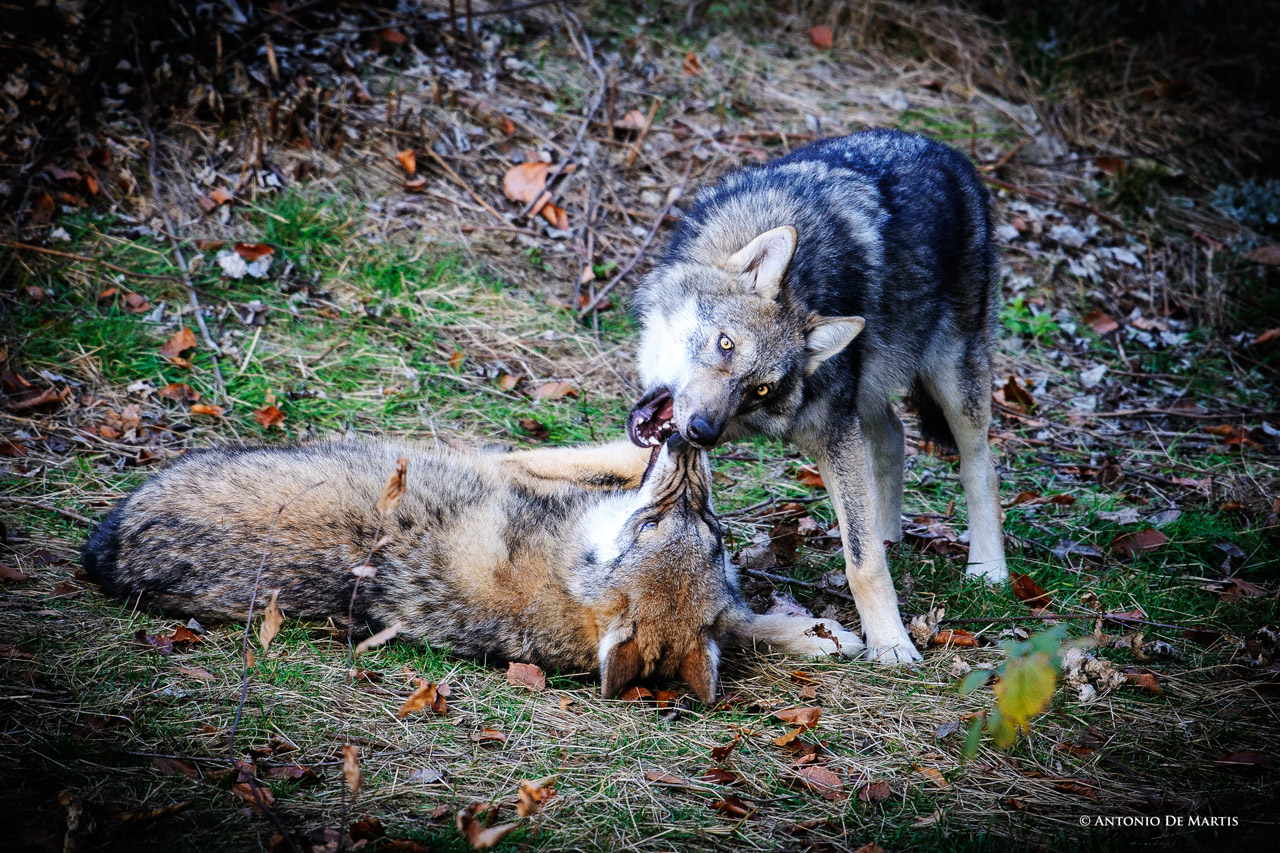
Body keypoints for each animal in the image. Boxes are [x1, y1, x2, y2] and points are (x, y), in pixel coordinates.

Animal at [82, 437, 861, 702]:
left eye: (713, 534)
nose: (695, 445)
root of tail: (102, 555)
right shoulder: (510, 462)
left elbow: (747, 623)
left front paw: (825, 637)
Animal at [627, 129, 1008, 664]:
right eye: (725, 345)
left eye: (760, 389)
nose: (703, 431)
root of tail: (948, 151)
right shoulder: (837, 426)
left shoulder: (834, 432)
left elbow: (864, 564)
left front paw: (891, 643)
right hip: (868, 389)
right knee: (893, 437)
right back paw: (888, 531)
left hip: (954, 379)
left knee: (979, 464)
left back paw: (988, 569)